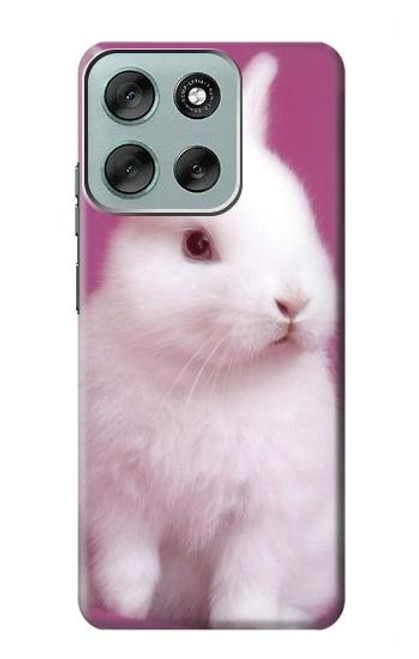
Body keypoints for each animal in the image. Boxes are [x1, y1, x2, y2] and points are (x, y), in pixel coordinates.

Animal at [80, 53, 340, 628]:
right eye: (197, 245)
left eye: (305, 221)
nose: (294, 302)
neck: (214, 376)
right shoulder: (116, 491)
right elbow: (127, 553)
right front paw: (127, 605)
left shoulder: (268, 513)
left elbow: (247, 580)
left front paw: (243, 619)